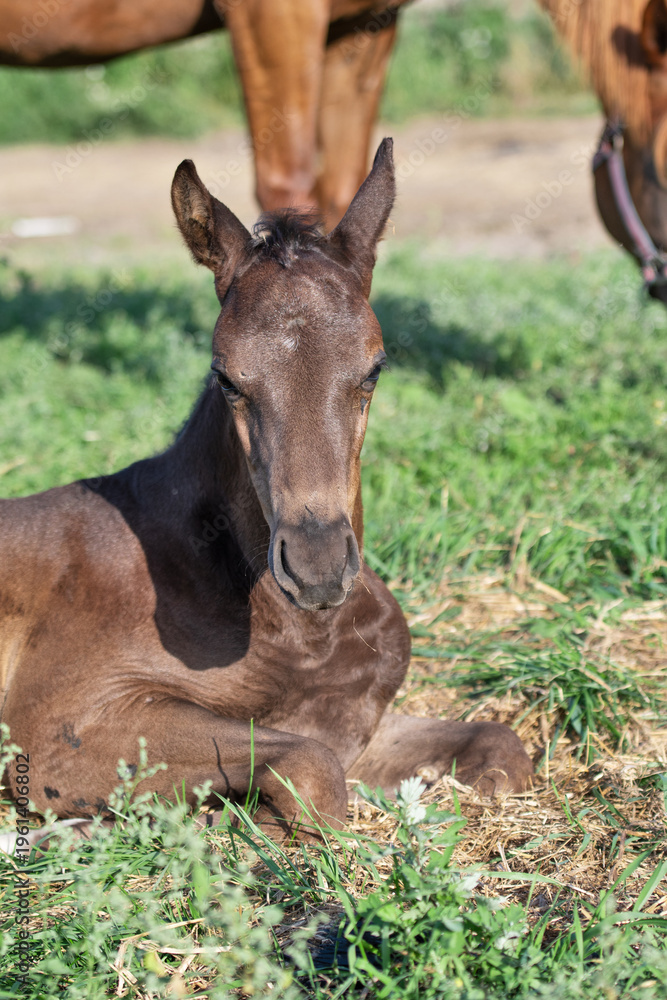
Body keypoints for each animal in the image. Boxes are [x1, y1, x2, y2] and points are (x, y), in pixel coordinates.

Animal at [0, 140, 534, 842]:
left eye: (375, 368)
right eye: (226, 378)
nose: (317, 569)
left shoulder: (359, 724)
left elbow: (500, 747)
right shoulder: (63, 722)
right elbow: (313, 773)